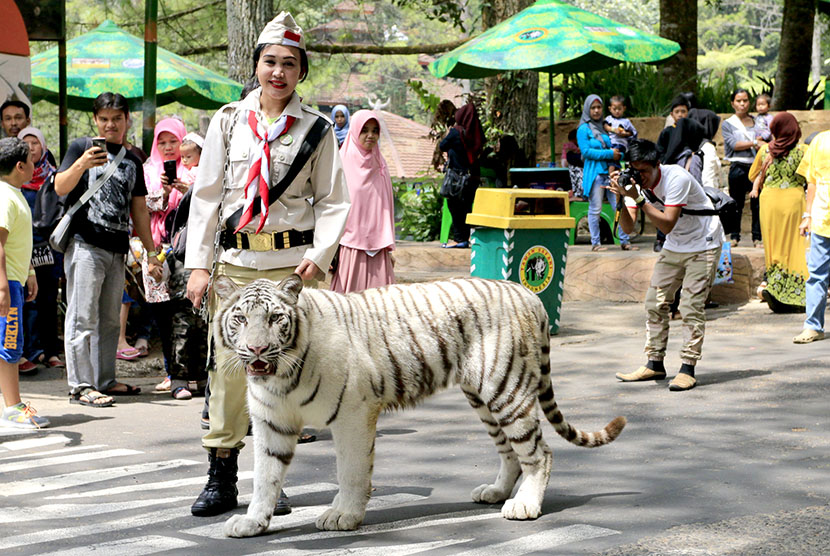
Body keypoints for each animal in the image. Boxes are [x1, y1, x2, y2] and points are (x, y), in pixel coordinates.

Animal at [218, 276, 628, 536]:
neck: (281, 377)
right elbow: (265, 477)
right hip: (483, 397)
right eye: (241, 318)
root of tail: (529, 294)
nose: (256, 349)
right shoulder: (272, 423)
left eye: (275, 318)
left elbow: (351, 472)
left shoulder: (353, 414)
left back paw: (524, 506)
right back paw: (496, 492)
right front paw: (252, 523)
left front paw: (343, 515)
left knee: (539, 453)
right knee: (510, 452)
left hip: (507, 391)